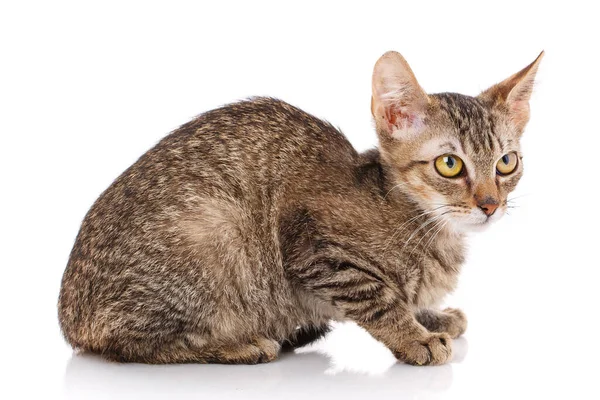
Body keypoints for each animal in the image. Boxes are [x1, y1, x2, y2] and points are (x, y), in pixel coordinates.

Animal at [57, 50, 544, 366]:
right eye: (449, 164)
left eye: (506, 163)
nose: (490, 204)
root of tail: (69, 317)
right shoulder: (316, 249)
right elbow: (381, 300)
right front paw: (415, 337)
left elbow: (403, 296)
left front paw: (432, 316)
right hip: (216, 231)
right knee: (126, 343)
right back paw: (240, 345)